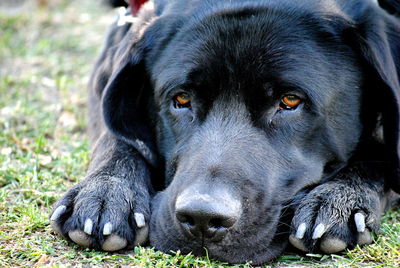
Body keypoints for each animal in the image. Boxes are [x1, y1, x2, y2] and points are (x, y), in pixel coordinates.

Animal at [50, 0, 400, 264]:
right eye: (181, 99)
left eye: (290, 101)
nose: (203, 217)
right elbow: (116, 135)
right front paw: (104, 193)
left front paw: (340, 199)